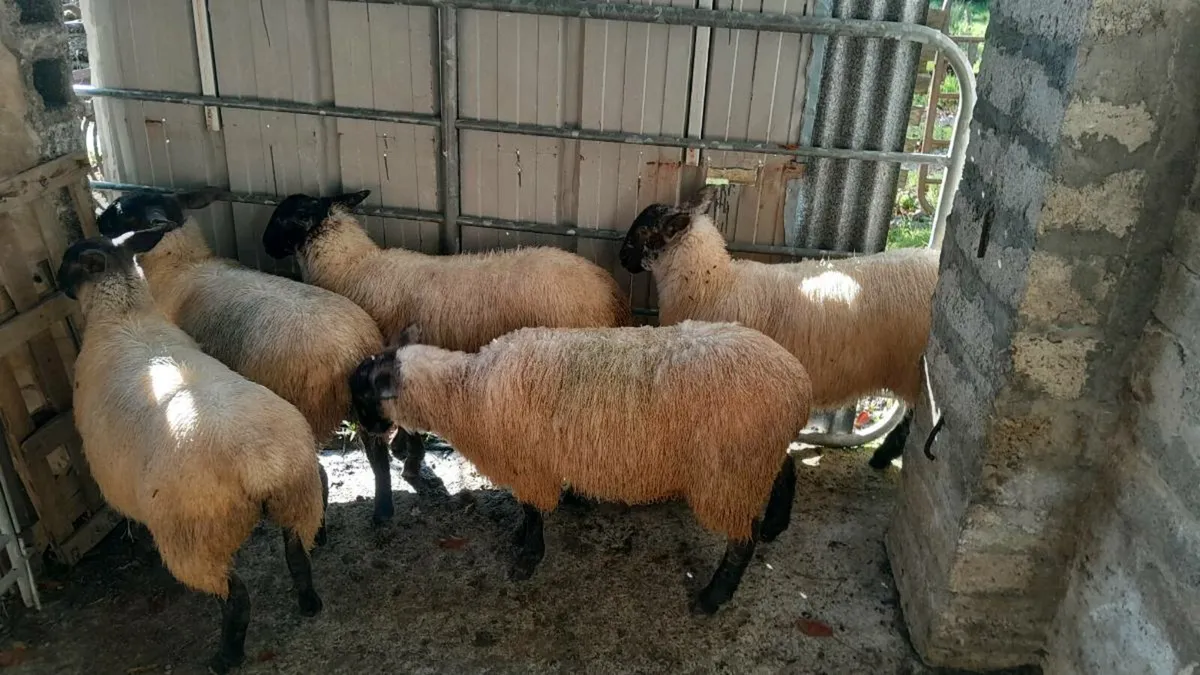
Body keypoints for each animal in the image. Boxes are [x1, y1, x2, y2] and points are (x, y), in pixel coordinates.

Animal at [58, 236, 324, 674]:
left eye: (70, 262)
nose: (55, 283)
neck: (123, 313)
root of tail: (258, 465)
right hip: (299, 500)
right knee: (297, 555)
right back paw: (309, 603)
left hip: (198, 542)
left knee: (235, 597)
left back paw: (225, 657)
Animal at [96, 190, 399, 526]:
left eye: (123, 211)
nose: (98, 221)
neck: (183, 265)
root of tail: (352, 352)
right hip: (365, 405)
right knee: (378, 453)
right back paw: (383, 510)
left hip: (310, 409)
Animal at [262, 189, 634, 516]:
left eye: (285, 217)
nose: (264, 245)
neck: (353, 266)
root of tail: (611, 294)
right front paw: (404, 451)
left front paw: (409, 459)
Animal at [349, 320, 812, 614]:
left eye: (363, 391)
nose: (365, 431)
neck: (464, 391)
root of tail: (798, 382)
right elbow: (526, 511)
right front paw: (520, 537)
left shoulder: (530, 465)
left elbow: (534, 511)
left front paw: (527, 557)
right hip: (754, 458)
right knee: (787, 468)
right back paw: (776, 524)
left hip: (730, 472)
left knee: (741, 541)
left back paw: (713, 597)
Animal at [619, 186, 939, 469]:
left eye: (644, 232)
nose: (621, 259)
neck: (714, 284)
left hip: (912, 371)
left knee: (911, 422)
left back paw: (882, 457)